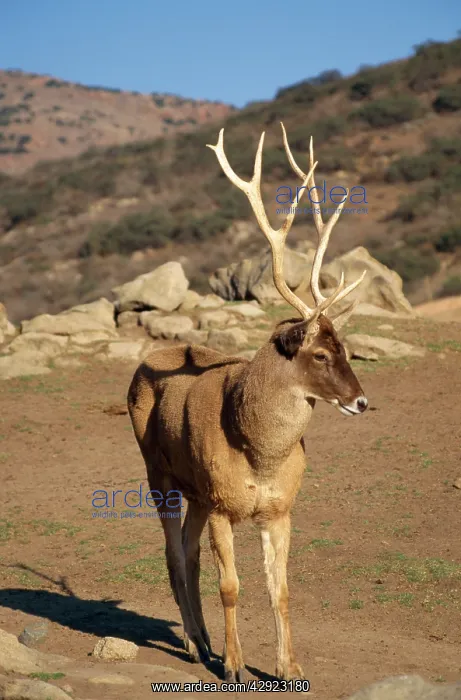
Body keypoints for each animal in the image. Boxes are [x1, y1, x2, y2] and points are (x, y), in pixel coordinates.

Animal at [127, 123, 368, 683]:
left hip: (196, 490)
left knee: (188, 550)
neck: (258, 451)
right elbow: (231, 586)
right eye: (320, 354)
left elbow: (280, 591)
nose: (362, 400)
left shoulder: (279, 509)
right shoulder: (221, 503)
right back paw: (201, 644)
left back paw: (197, 642)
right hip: (159, 472)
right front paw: (236, 667)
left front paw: (289, 666)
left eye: (347, 348)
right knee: (173, 553)